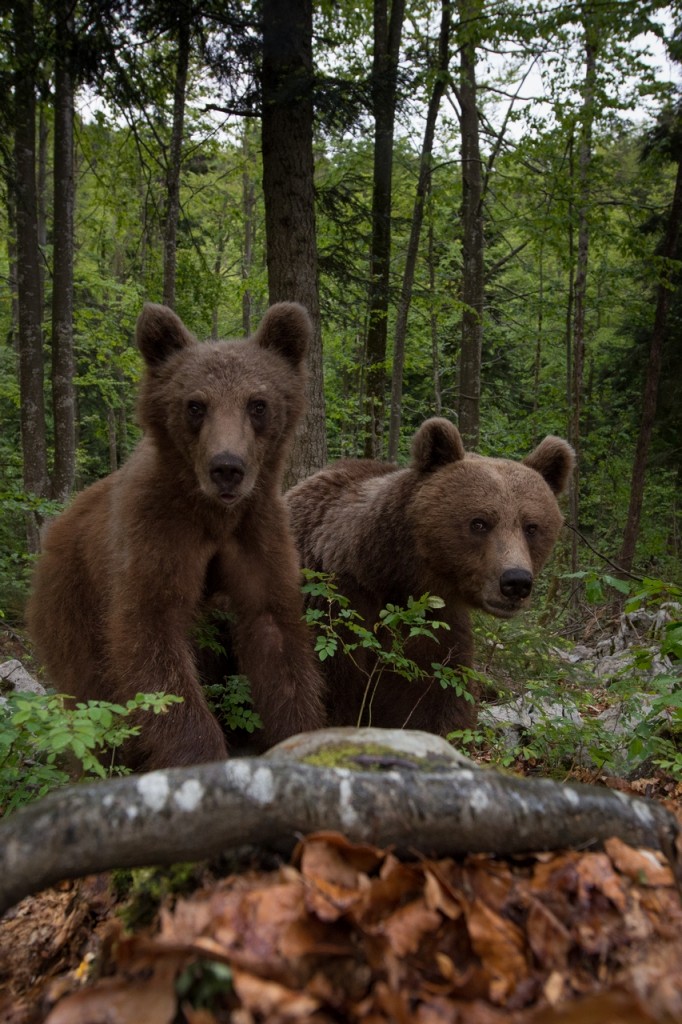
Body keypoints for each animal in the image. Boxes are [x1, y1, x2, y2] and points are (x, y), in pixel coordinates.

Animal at [27, 302, 326, 771]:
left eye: (257, 404)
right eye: (195, 404)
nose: (227, 467)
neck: (212, 514)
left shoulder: (257, 532)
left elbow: (275, 634)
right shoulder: (157, 532)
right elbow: (152, 638)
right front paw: (198, 755)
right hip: (70, 601)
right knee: (89, 696)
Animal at [285, 417, 574, 737]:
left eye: (531, 527)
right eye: (479, 522)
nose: (516, 582)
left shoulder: (436, 627)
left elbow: (434, 702)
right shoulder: (337, 607)